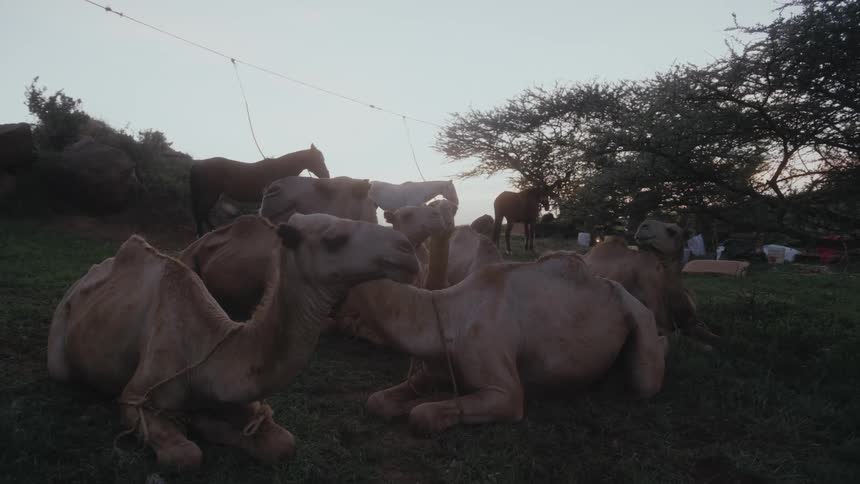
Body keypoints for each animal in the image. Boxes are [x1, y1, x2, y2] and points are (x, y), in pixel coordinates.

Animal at [47, 214, 419, 469]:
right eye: (334, 238)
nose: (407, 249)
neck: (209, 350)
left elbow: (282, 442)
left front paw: (211, 423)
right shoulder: (134, 397)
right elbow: (186, 455)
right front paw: (195, 427)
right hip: (59, 348)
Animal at [189, 144, 330, 236]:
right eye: (318, 159)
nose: (327, 175)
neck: (279, 168)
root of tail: (197, 165)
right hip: (209, 195)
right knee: (201, 214)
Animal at [358, 251, 668, 435]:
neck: (448, 315)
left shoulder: (503, 387)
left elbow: (422, 416)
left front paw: (419, 406)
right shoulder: (434, 369)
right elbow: (375, 400)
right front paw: (400, 405)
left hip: (642, 320)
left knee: (645, 383)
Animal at [585, 219, 719, 347]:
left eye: (672, 231)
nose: (644, 225)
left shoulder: (689, 321)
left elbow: (714, 337)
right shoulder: (657, 324)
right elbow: (682, 338)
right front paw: (705, 346)